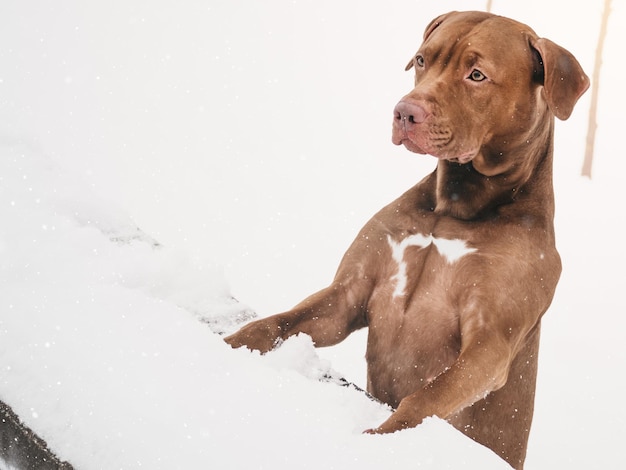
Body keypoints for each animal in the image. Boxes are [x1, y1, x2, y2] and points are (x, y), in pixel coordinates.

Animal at [227, 11, 588, 470]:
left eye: (477, 74)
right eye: (421, 60)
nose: (404, 112)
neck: (456, 206)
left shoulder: (490, 343)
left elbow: (425, 398)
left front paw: (377, 441)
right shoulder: (349, 294)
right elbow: (277, 323)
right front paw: (226, 343)